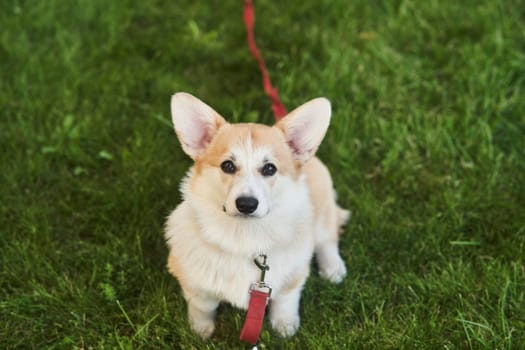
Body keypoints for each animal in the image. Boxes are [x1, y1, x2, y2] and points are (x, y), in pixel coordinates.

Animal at [164, 93, 350, 340]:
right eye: (228, 165)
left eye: (269, 168)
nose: (246, 204)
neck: (244, 235)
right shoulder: (193, 283)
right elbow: (202, 307)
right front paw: (200, 330)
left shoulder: (292, 278)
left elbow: (286, 301)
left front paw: (285, 326)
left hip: (321, 211)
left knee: (327, 239)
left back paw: (333, 268)